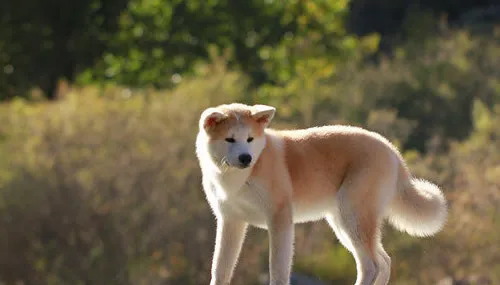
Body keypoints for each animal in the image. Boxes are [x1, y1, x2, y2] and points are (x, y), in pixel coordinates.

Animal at [194, 102, 446, 284]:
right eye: (229, 139)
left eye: (250, 139)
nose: (246, 158)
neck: (238, 178)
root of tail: (393, 151)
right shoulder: (231, 221)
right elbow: (220, 270)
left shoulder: (280, 218)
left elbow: (278, 270)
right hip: (343, 223)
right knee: (383, 262)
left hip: (353, 217)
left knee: (371, 265)